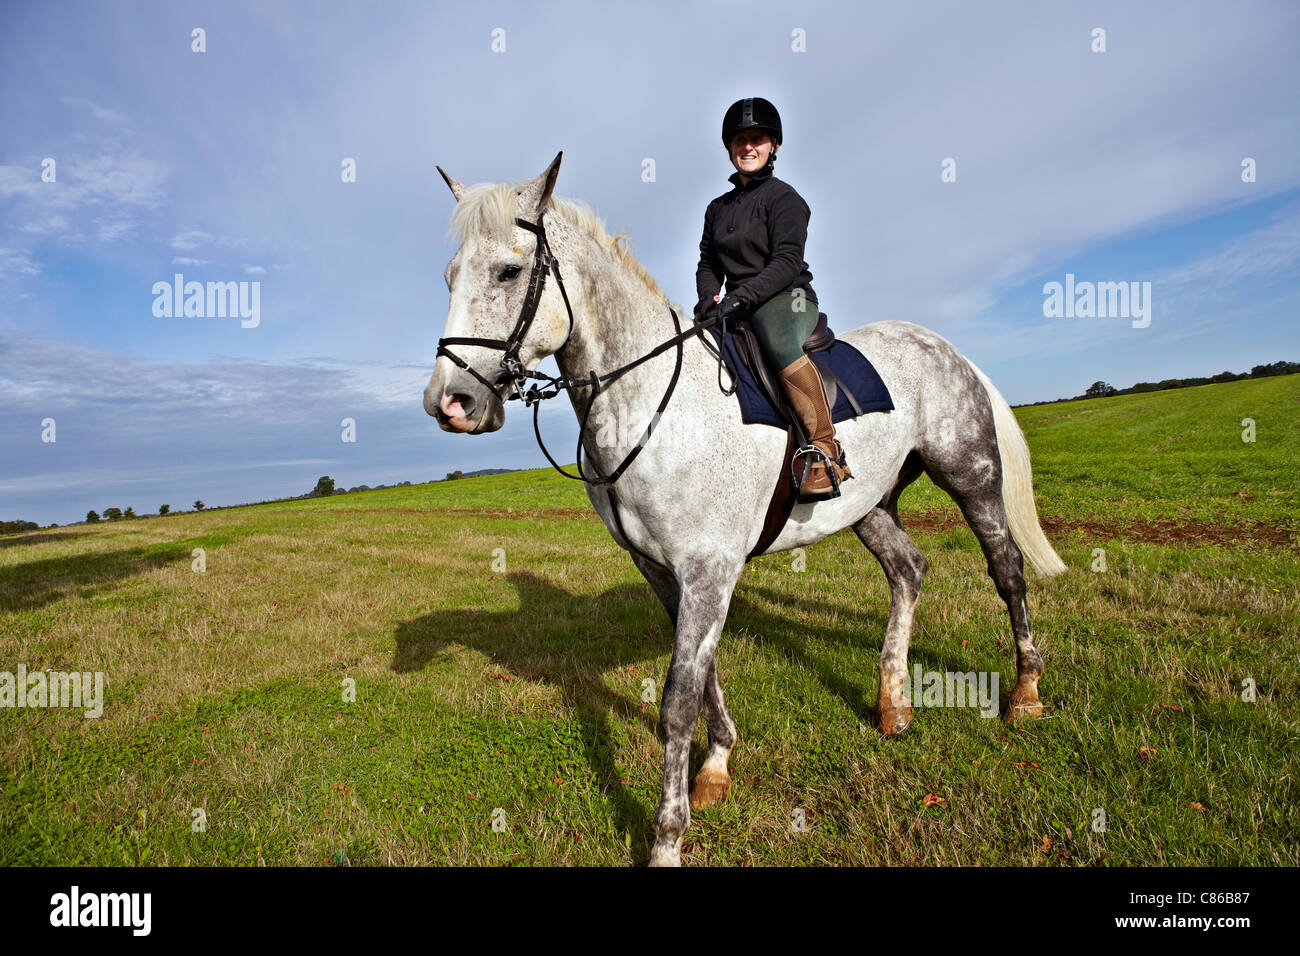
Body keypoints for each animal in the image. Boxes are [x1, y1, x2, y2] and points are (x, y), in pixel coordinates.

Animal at [426, 151, 1066, 868]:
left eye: (508, 272)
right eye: (450, 276)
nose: (449, 403)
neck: (651, 401)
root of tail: (945, 347)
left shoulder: (708, 570)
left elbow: (677, 702)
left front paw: (667, 840)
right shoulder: (667, 572)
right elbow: (702, 678)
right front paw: (716, 767)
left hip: (971, 477)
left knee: (1007, 571)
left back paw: (1025, 693)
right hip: (868, 506)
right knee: (909, 571)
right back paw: (893, 703)